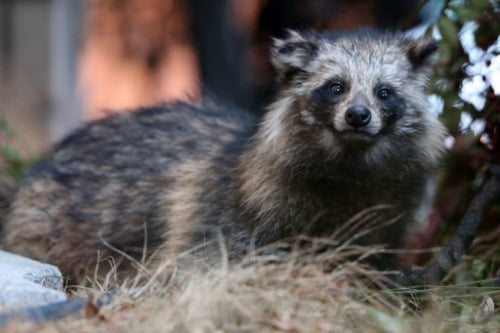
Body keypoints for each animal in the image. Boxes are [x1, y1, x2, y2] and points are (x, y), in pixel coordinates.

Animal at [0, 30, 446, 280]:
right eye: (336, 87)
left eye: (384, 92)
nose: (358, 116)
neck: (350, 163)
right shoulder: (224, 209)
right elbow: (199, 259)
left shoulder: (388, 213)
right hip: (44, 225)